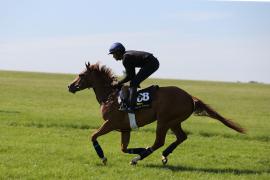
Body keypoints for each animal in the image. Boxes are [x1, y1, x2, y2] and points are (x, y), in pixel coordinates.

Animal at [68, 62, 245, 165]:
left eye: (81, 75)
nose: (70, 86)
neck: (110, 96)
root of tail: (190, 97)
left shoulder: (110, 123)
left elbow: (93, 136)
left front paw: (103, 157)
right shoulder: (125, 128)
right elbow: (123, 148)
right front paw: (140, 149)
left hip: (164, 121)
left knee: (159, 141)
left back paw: (138, 158)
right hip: (174, 121)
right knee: (181, 137)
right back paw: (162, 155)